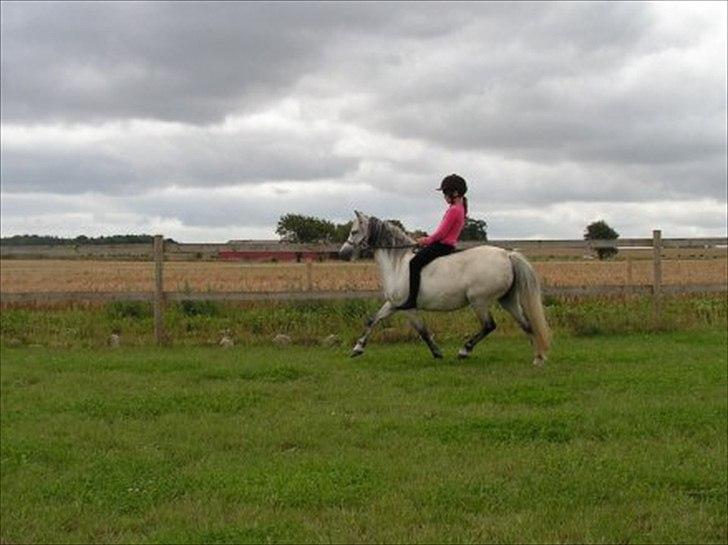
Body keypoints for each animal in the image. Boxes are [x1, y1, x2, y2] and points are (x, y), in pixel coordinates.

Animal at [337, 211, 551, 365]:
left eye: (354, 231)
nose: (342, 253)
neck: (397, 263)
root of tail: (506, 255)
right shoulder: (392, 304)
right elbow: (373, 320)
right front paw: (357, 348)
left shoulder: (407, 308)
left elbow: (422, 331)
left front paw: (438, 352)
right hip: (507, 300)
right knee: (526, 324)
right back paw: (538, 357)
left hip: (479, 301)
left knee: (489, 325)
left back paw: (464, 351)